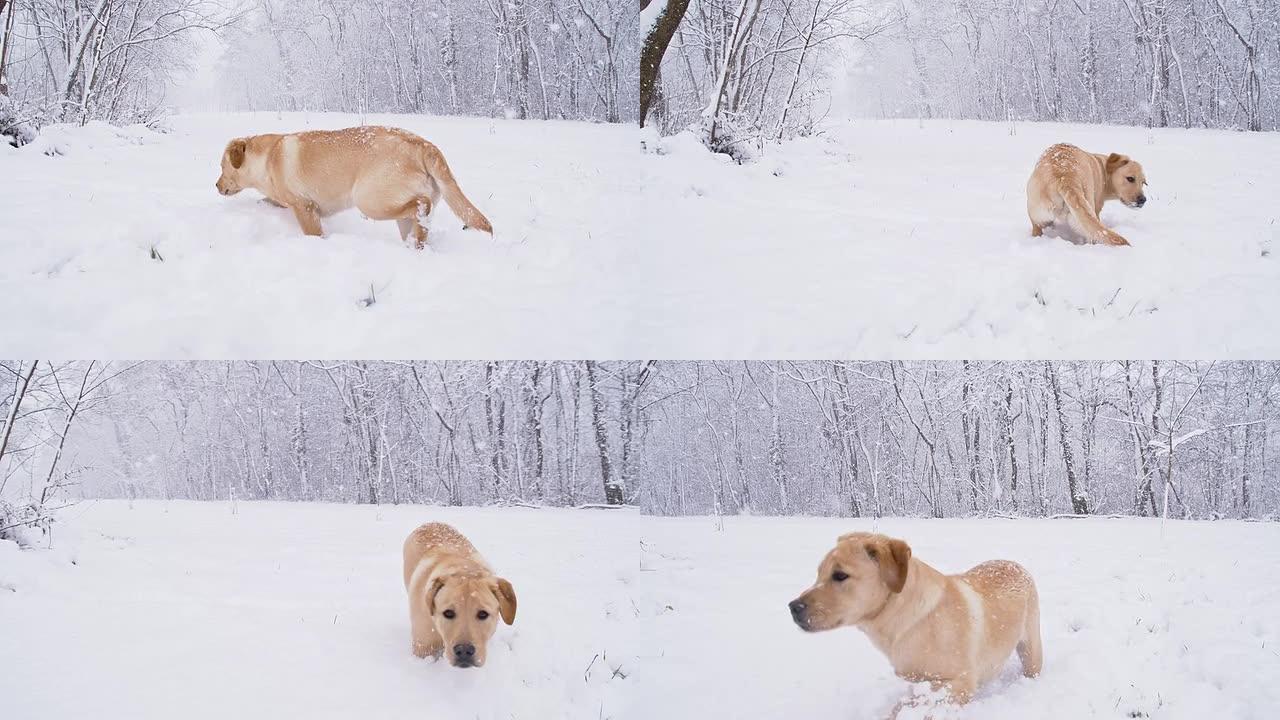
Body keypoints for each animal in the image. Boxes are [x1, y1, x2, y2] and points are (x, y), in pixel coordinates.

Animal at [212, 124, 491, 245]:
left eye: (222, 166)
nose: (216, 185)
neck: (267, 157)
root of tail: (423, 144)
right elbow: (269, 201)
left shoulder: (305, 207)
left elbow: (313, 232)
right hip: (397, 213)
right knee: (417, 225)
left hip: (369, 201)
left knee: (421, 205)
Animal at [401, 520, 517, 666]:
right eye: (448, 613)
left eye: (483, 614)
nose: (464, 650)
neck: (464, 569)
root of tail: (430, 522)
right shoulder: (423, 647)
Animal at [788, 532, 1039, 707]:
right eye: (819, 573)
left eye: (840, 575)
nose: (793, 607)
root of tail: (1014, 563)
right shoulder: (918, 682)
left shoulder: (960, 682)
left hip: (1031, 650)